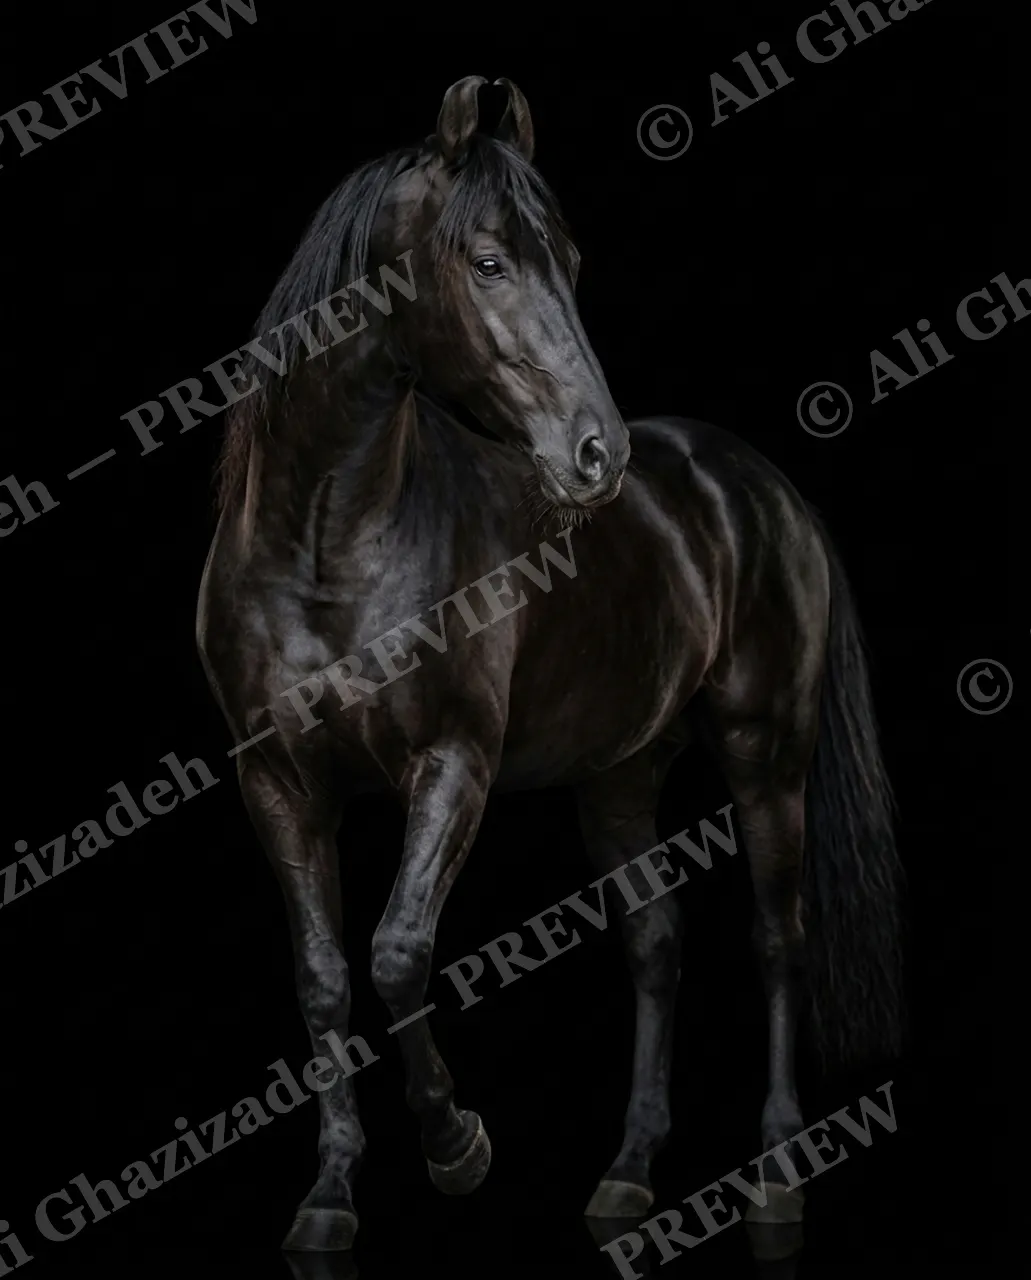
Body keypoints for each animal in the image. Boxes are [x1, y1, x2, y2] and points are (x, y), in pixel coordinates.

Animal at [196, 75, 904, 1253]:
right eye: (487, 261)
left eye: (567, 257)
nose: (595, 454)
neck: (326, 544)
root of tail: (760, 488)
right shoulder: (278, 784)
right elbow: (325, 978)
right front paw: (330, 1196)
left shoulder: (453, 763)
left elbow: (397, 951)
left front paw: (456, 1146)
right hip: (618, 776)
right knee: (655, 942)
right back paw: (626, 1174)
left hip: (766, 755)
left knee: (775, 939)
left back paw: (774, 1175)